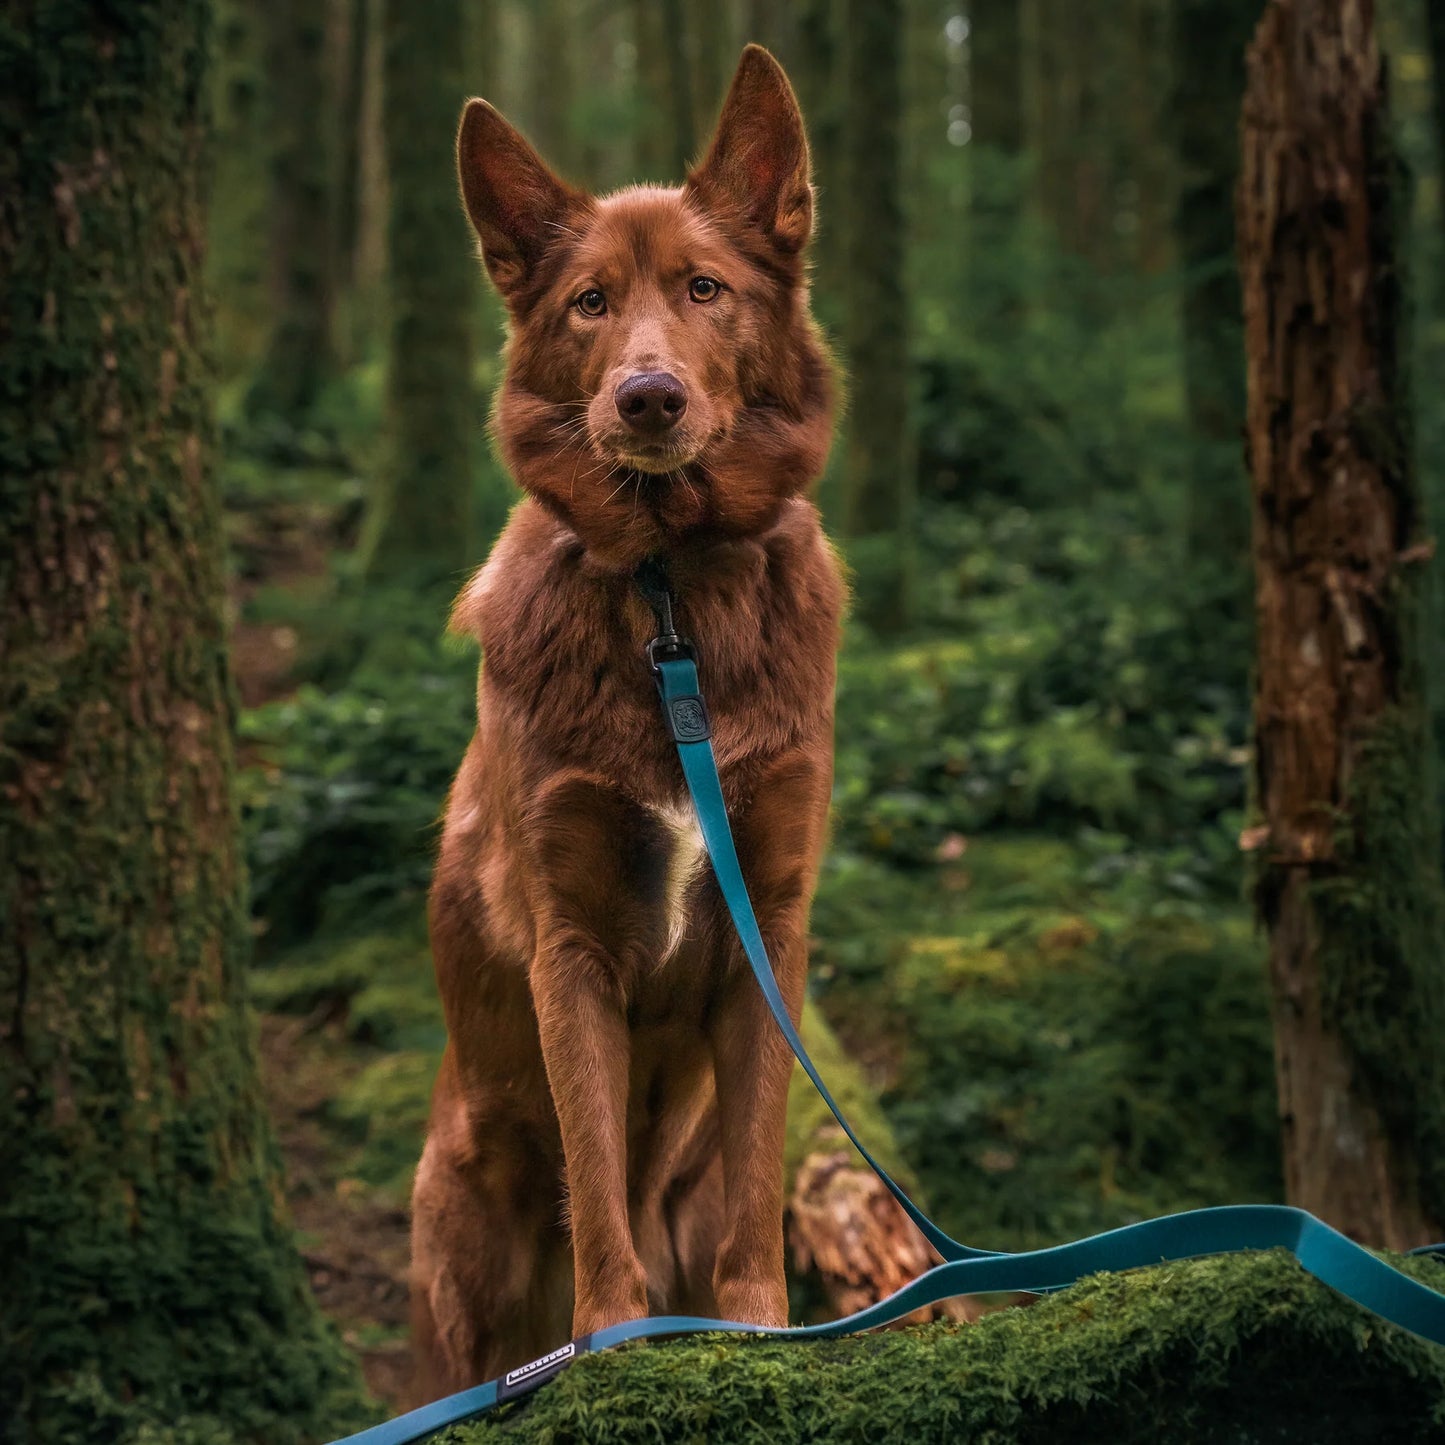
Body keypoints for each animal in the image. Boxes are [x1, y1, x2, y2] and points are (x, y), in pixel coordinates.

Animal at [410, 45, 843, 1398]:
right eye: (589, 304)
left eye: (705, 289)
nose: (646, 398)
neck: (668, 594)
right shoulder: (572, 945)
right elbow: (595, 1179)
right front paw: (609, 1340)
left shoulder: (770, 923)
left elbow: (756, 1174)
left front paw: (759, 1326)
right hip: (465, 1212)